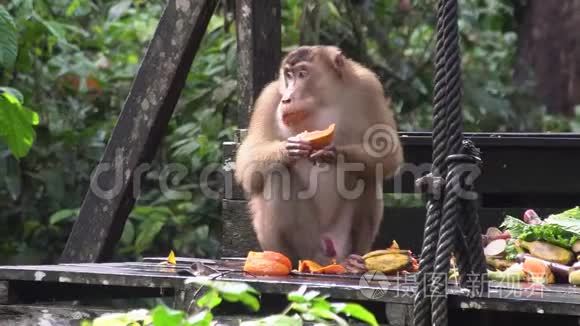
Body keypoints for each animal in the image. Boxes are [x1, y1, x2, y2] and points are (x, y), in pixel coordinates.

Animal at [233, 45, 402, 264]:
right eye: (288, 75)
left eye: (302, 74)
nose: (287, 99)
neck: (323, 101)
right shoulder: (269, 98)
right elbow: (249, 165)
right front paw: (290, 149)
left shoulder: (369, 87)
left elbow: (388, 151)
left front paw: (335, 153)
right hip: (306, 240)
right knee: (278, 174)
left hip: (341, 238)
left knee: (369, 174)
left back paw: (353, 259)